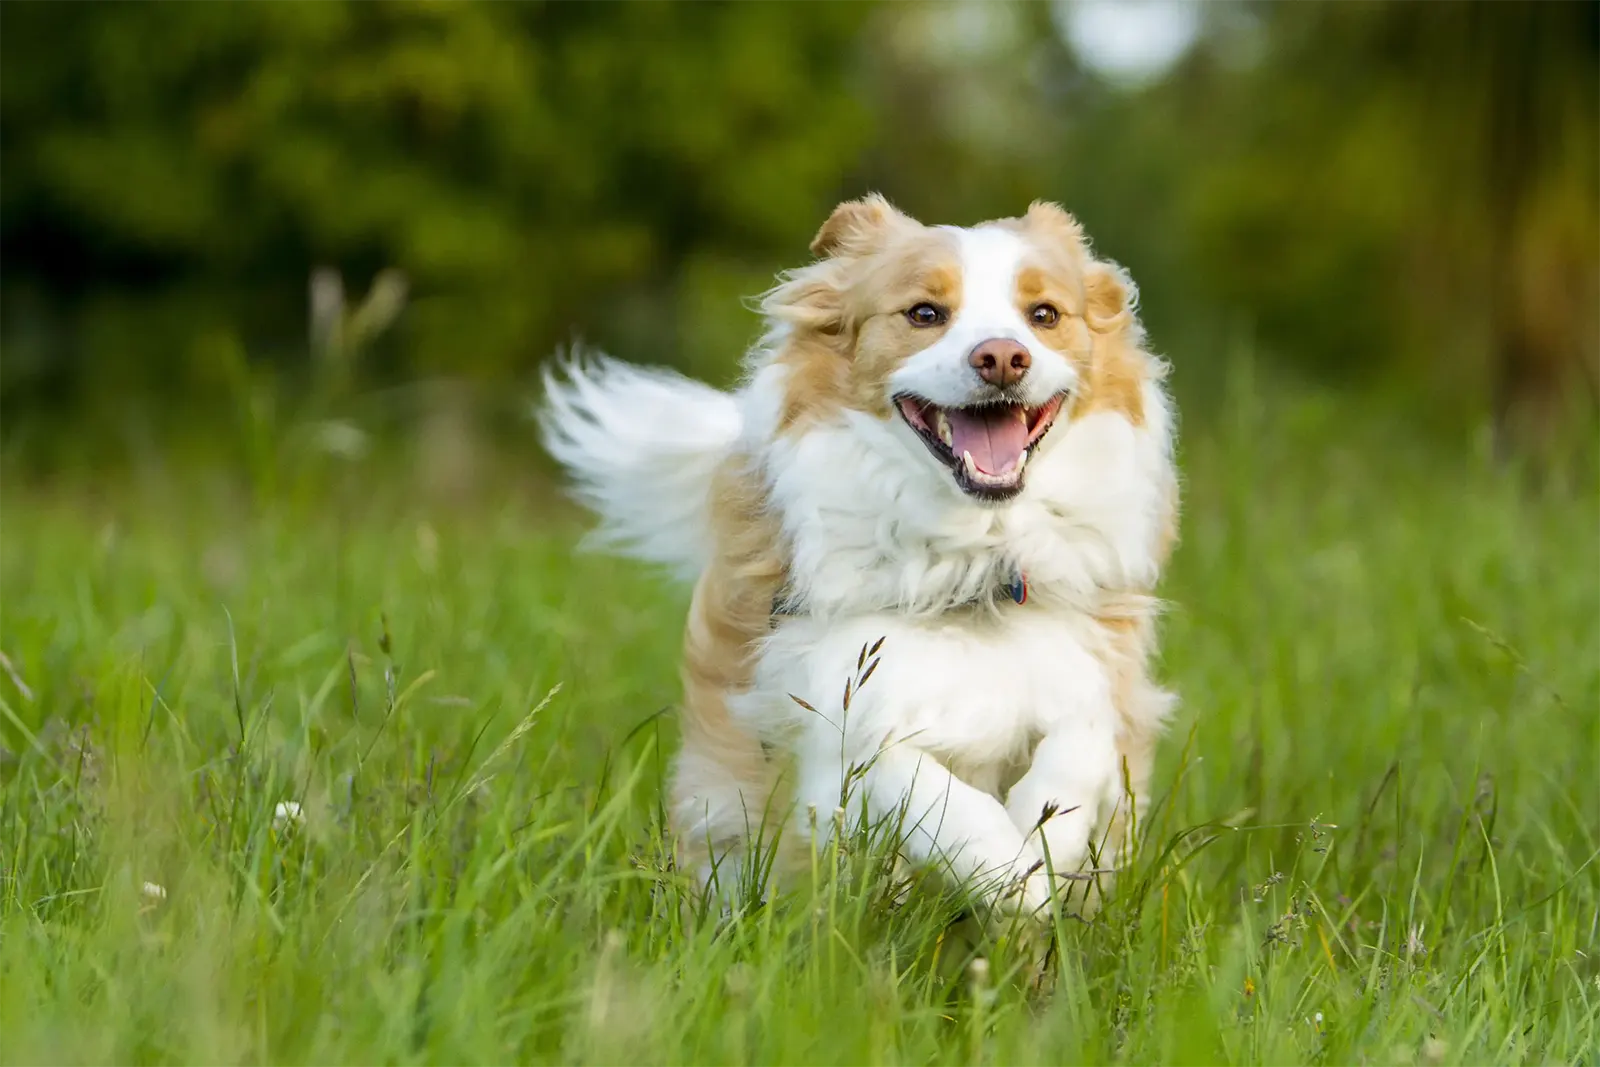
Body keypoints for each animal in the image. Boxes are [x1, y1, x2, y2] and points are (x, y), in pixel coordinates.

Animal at [537, 195, 1177, 915]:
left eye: (1044, 315)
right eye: (924, 313)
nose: (1003, 357)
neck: (973, 562)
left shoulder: (1093, 659)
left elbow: (1082, 743)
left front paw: (1047, 841)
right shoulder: (833, 709)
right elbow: (924, 786)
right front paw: (1014, 877)